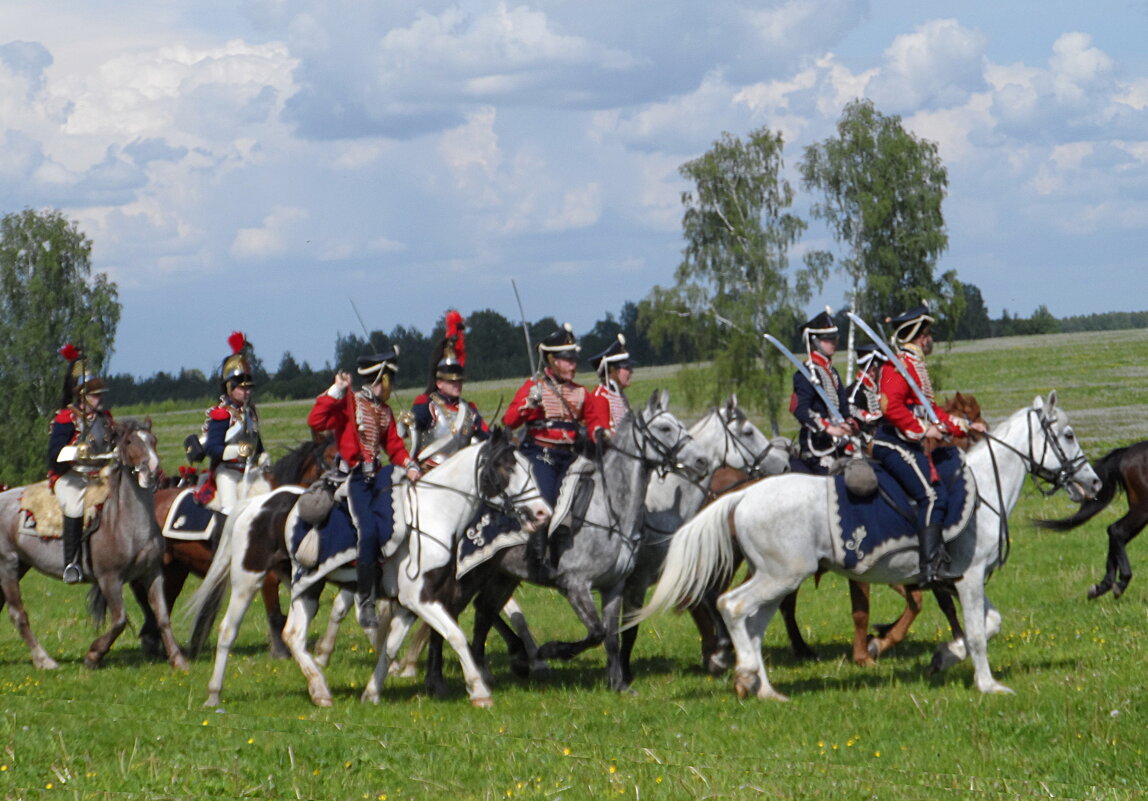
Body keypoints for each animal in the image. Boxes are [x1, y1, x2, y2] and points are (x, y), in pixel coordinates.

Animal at [0, 422, 188, 670]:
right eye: (130, 442)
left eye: (153, 440)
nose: (152, 470)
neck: (127, 523)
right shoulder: (109, 578)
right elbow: (119, 620)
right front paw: (93, 655)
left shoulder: (152, 573)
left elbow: (163, 617)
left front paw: (178, 659)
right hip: (8, 564)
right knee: (18, 614)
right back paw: (44, 660)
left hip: (20, 565)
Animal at [184, 426, 551, 706]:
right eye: (506, 467)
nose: (542, 513)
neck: (433, 514)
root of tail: (255, 504)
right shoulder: (421, 599)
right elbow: (456, 636)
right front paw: (479, 692)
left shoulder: (407, 604)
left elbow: (390, 647)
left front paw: (372, 693)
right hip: (248, 579)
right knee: (228, 631)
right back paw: (214, 695)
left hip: (308, 585)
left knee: (294, 635)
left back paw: (320, 691)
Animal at [438, 390, 707, 688]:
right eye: (665, 428)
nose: (702, 461)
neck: (610, 510)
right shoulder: (575, 585)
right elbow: (597, 632)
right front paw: (552, 650)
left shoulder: (614, 586)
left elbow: (611, 637)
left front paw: (619, 684)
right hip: (468, 573)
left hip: (502, 576)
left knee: (484, 612)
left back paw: (489, 670)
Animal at [638, 392, 1102, 697]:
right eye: (1068, 434)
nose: (1094, 482)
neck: (985, 487)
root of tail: (744, 495)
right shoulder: (967, 578)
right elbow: (975, 633)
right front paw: (987, 685)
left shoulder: (961, 579)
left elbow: (990, 623)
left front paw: (943, 657)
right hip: (779, 577)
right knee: (730, 607)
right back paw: (744, 671)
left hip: (777, 581)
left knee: (752, 624)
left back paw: (763, 687)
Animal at [1033, 436, 1148, 596]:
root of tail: (1127, 451)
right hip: (1141, 509)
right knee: (1117, 531)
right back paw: (1120, 583)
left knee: (1115, 532)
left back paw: (1103, 586)